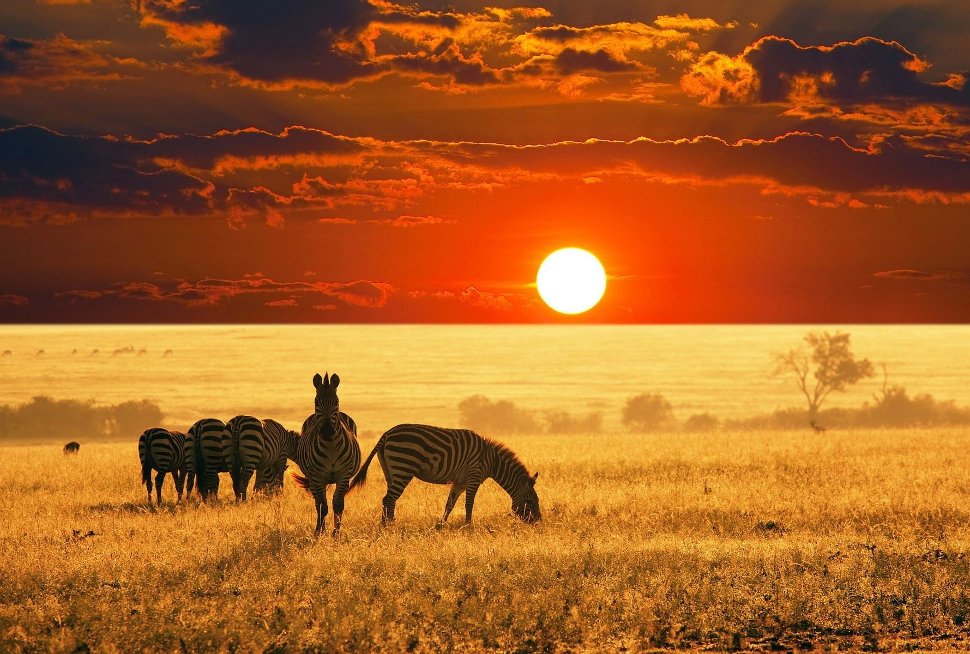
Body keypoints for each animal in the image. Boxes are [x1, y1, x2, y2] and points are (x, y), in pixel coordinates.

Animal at [294, 374, 362, 540]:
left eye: (336, 402)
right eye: (316, 402)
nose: (327, 431)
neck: (330, 445)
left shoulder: (343, 476)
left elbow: (338, 504)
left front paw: (336, 534)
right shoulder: (317, 477)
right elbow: (322, 506)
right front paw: (319, 532)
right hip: (314, 479)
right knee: (318, 503)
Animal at [348, 426, 540, 528]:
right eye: (531, 501)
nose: (538, 522)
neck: (492, 460)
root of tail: (386, 434)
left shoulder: (460, 482)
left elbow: (450, 504)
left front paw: (440, 526)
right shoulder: (473, 477)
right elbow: (469, 504)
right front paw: (468, 527)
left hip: (391, 471)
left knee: (389, 500)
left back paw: (388, 525)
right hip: (403, 467)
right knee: (388, 499)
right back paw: (387, 527)